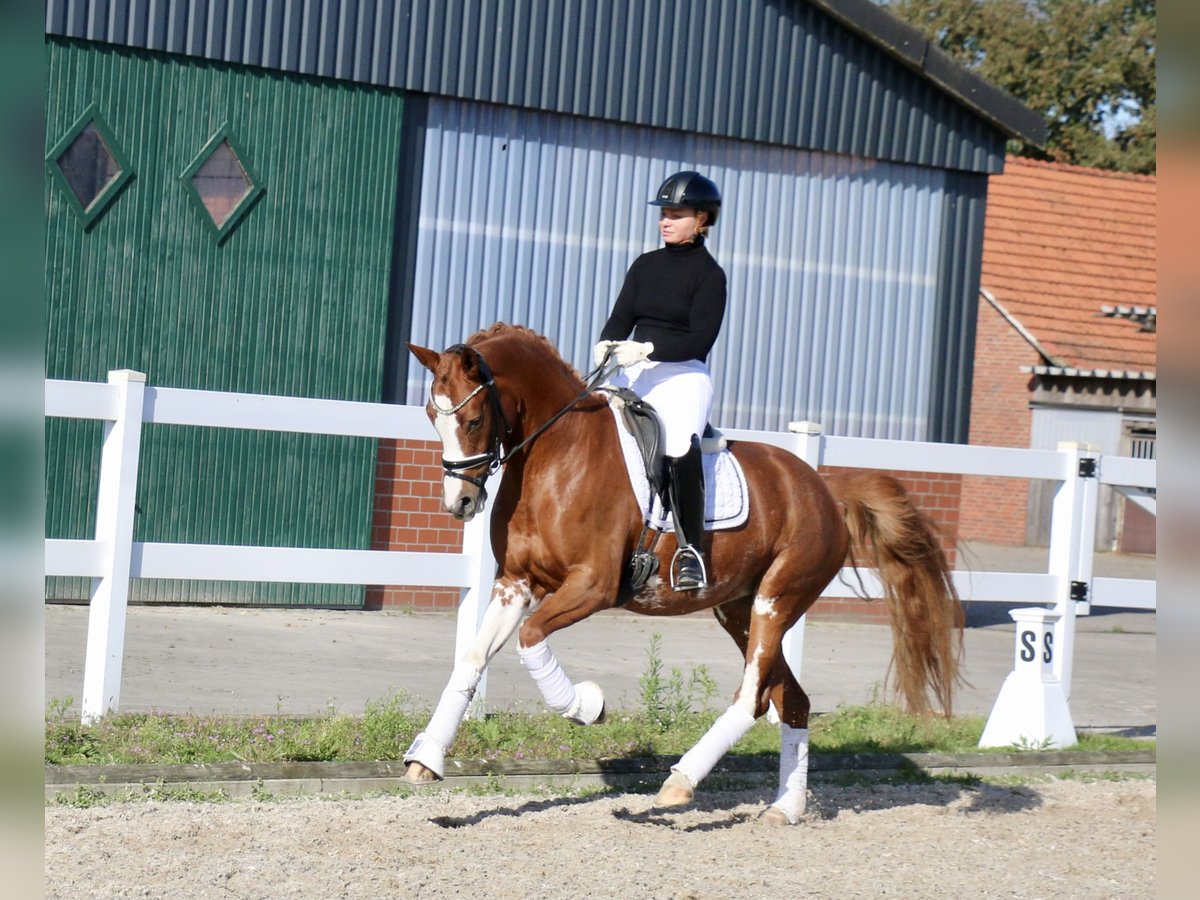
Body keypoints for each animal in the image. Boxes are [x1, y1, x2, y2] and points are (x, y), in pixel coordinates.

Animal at [403, 324, 964, 825]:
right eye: (432, 415)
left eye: (473, 419)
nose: (460, 503)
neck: (557, 454)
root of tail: (825, 488)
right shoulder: (515, 583)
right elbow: (473, 658)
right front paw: (426, 758)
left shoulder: (593, 586)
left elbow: (531, 637)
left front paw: (586, 706)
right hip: (739, 609)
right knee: (791, 699)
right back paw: (785, 809)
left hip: (778, 599)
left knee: (752, 697)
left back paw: (680, 782)